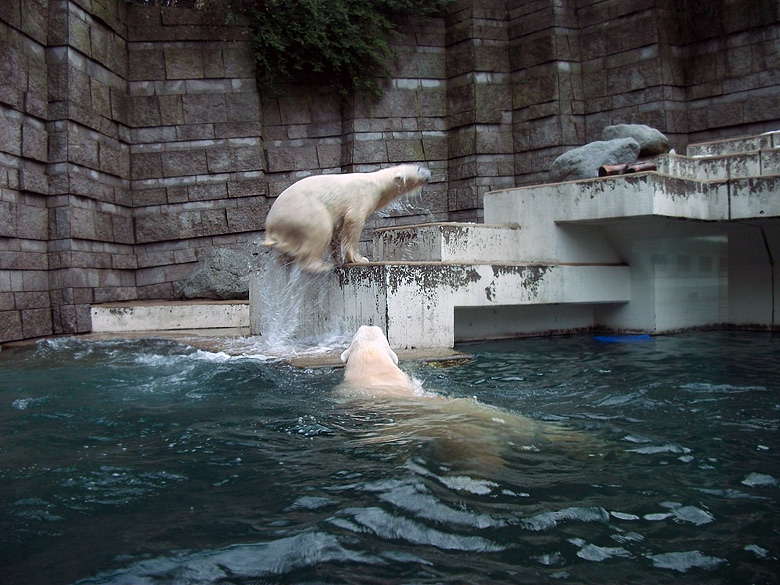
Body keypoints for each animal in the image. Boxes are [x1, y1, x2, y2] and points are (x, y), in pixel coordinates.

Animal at [264, 164, 432, 272]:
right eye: (418, 169)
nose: (429, 174)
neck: (376, 182)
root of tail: (270, 224)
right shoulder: (361, 197)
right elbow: (353, 222)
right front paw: (359, 258)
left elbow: (338, 230)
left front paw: (338, 258)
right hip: (302, 212)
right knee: (320, 228)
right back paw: (320, 266)